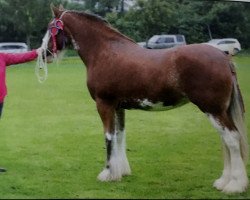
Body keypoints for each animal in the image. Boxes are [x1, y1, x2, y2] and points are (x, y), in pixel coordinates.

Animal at [41, 5, 248, 194]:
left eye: (52, 27)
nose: (44, 54)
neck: (104, 52)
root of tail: (224, 57)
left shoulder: (104, 104)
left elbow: (108, 137)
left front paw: (107, 173)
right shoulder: (118, 107)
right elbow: (120, 135)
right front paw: (121, 171)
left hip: (212, 109)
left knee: (231, 138)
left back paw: (234, 185)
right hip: (219, 110)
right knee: (225, 140)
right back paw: (223, 181)